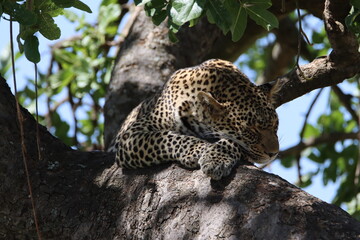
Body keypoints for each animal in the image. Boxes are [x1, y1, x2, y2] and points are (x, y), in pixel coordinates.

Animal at [111, 58, 280, 180]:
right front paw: (202, 149)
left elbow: (232, 141)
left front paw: (216, 158)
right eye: (251, 130)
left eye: (275, 124)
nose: (274, 153)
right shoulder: (131, 135)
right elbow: (167, 137)